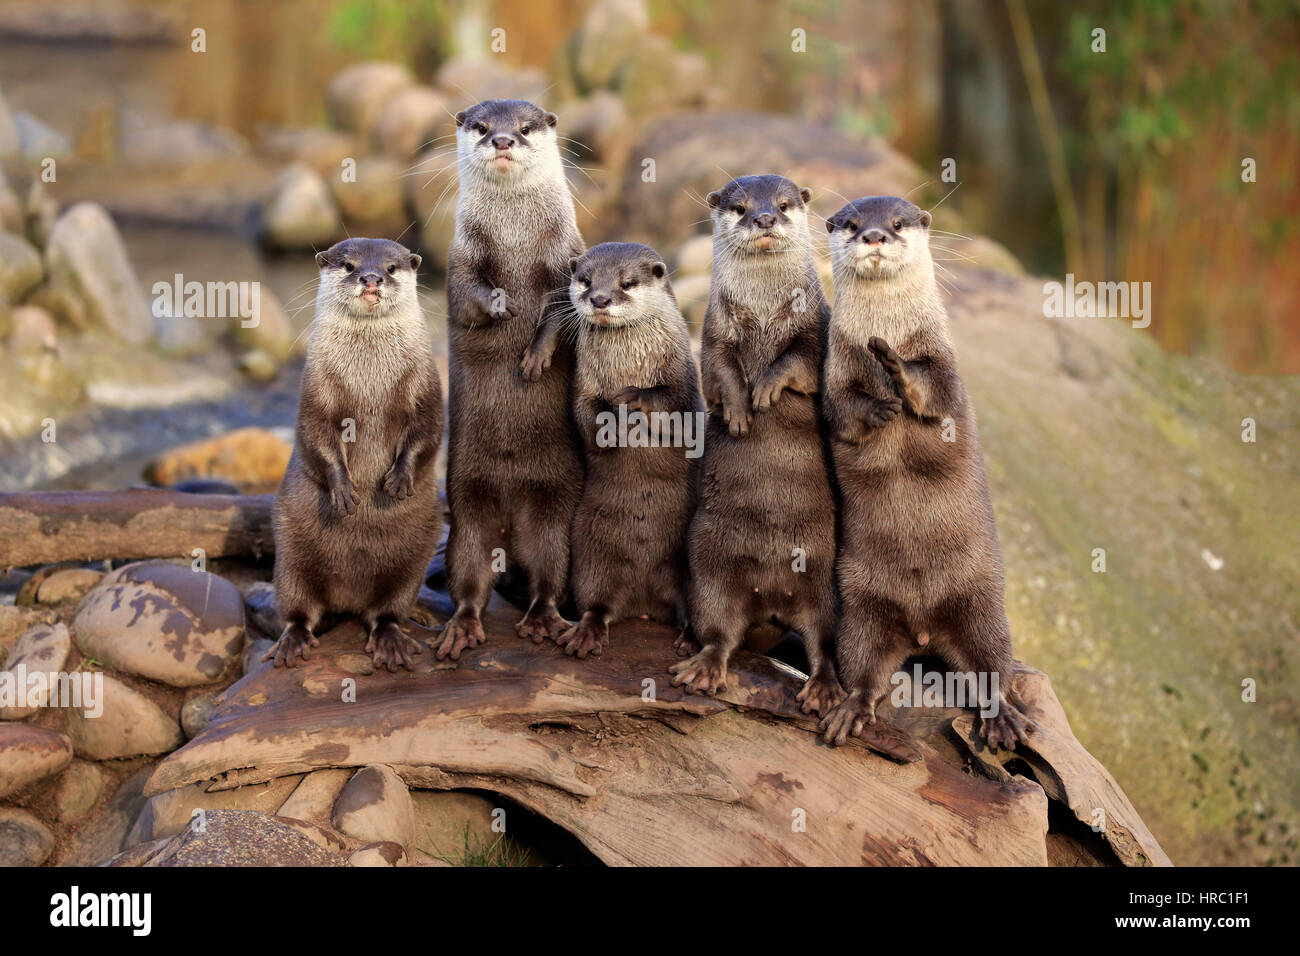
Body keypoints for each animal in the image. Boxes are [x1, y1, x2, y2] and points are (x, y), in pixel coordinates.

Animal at [266, 239, 444, 671]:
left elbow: (428, 432)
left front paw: (398, 480)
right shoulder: (315, 392)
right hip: (291, 556)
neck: (369, 380)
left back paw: (390, 641)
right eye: (349, 265)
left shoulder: (426, 387)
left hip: (413, 561)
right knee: (298, 607)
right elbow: (315, 437)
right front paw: (345, 490)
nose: (371, 278)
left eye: (392, 267)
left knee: (386, 610)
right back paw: (294, 640)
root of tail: (348, 599)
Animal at [441, 100, 590, 660]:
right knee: (469, 579)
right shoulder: (459, 260)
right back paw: (462, 627)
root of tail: (510, 518)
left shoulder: (568, 258)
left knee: (549, 571)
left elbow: (561, 312)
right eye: (482, 126)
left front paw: (535, 356)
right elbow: (469, 296)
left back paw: (544, 619)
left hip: (556, 510)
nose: (503, 140)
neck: (516, 242)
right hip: (465, 507)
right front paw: (501, 304)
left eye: (525, 128)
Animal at [559, 240, 702, 658]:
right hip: (589, 554)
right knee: (597, 603)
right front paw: (613, 422)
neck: (627, 362)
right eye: (586, 279)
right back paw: (586, 632)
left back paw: (692, 639)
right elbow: (586, 416)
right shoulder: (584, 383)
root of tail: (645, 601)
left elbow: (673, 407)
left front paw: (631, 398)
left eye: (626, 283)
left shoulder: (683, 378)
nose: (600, 299)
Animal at [670, 174, 842, 717]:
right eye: (741, 207)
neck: (765, 310)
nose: (764, 218)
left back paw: (824, 689)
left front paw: (765, 389)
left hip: (827, 585)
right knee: (719, 630)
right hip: (709, 565)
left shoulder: (815, 329)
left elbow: (796, 362)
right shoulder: (715, 329)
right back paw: (700, 661)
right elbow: (720, 372)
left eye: (784, 205)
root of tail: (769, 597)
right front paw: (741, 411)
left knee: (823, 642)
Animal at [821, 192, 1034, 749]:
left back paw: (1001, 717)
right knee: (864, 669)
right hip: (861, 608)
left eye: (897, 223)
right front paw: (880, 405)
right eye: (852, 223)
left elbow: (931, 389)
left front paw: (895, 365)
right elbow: (844, 410)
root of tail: (921, 629)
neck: (890, 325)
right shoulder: (836, 366)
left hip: (982, 602)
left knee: (992, 667)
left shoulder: (944, 362)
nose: (874, 236)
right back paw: (850, 708)